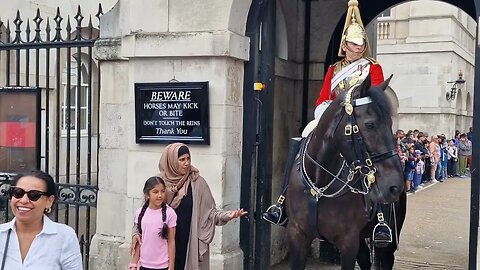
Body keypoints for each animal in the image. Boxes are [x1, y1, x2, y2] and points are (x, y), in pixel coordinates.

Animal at [286, 74, 406, 270]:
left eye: (390, 123)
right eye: (370, 124)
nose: (395, 186)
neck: (319, 184)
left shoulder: (348, 242)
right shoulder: (297, 236)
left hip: (388, 242)